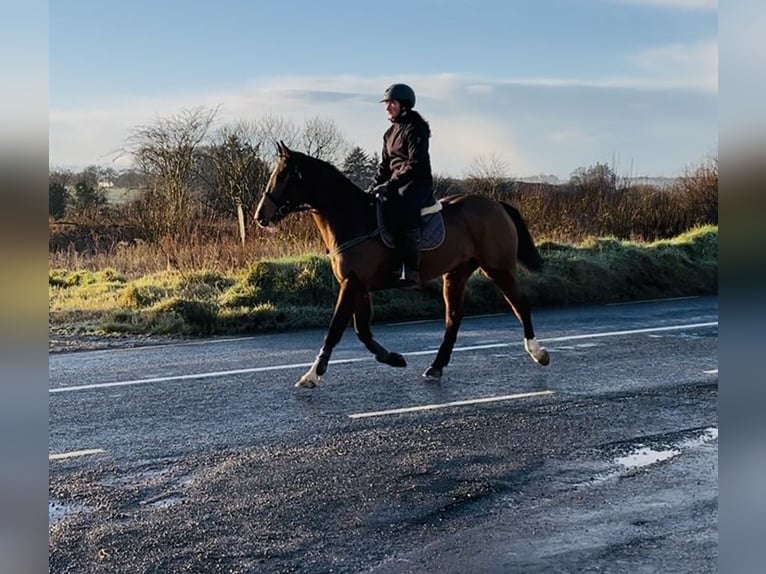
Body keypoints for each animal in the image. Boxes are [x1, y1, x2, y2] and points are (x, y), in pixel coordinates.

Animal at [254, 141, 549, 388]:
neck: (351, 216)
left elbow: (336, 329)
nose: (260, 216)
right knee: (454, 317)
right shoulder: (359, 285)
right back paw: (435, 367)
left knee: (520, 304)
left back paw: (538, 353)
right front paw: (393, 358)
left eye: (284, 175)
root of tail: (496, 205)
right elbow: (362, 330)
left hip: (497, 268)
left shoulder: (352, 283)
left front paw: (312, 375)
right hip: (456, 273)